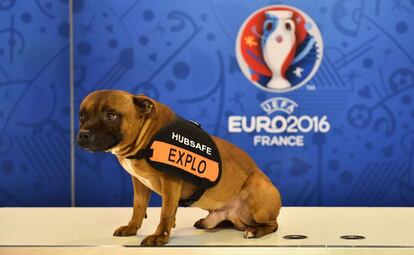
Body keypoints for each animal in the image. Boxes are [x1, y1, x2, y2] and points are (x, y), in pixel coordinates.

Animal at [77, 89, 282, 245]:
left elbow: (166, 212)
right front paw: (132, 227)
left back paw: (255, 230)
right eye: (82, 115)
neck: (147, 139)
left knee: (273, 224)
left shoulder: (170, 182)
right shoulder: (139, 182)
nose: (83, 134)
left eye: (111, 116)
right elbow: (138, 207)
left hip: (257, 189)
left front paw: (160, 236)